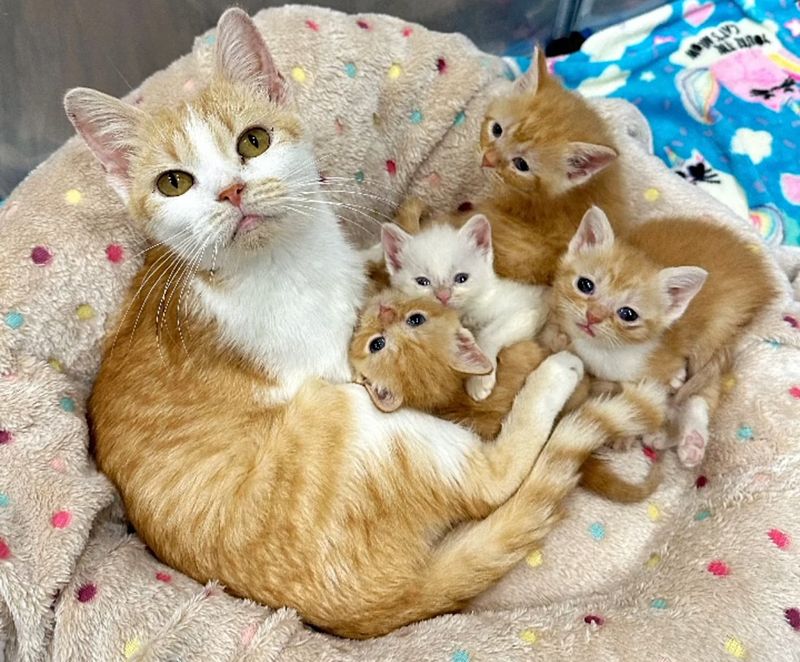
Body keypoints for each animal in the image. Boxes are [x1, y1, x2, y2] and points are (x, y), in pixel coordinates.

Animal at [382, 215, 552, 402]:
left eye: (461, 278)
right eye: (422, 282)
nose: (443, 295)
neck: (466, 314)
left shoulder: (530, 308)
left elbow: (489, 333)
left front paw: (479, 380)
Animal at [552, 206, 780, 466]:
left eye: (628, 314)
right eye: (585, 285)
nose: (593, 316)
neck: (605, 351)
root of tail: (761, 280)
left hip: (716, 330)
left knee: (705, 391)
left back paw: (687, 439)